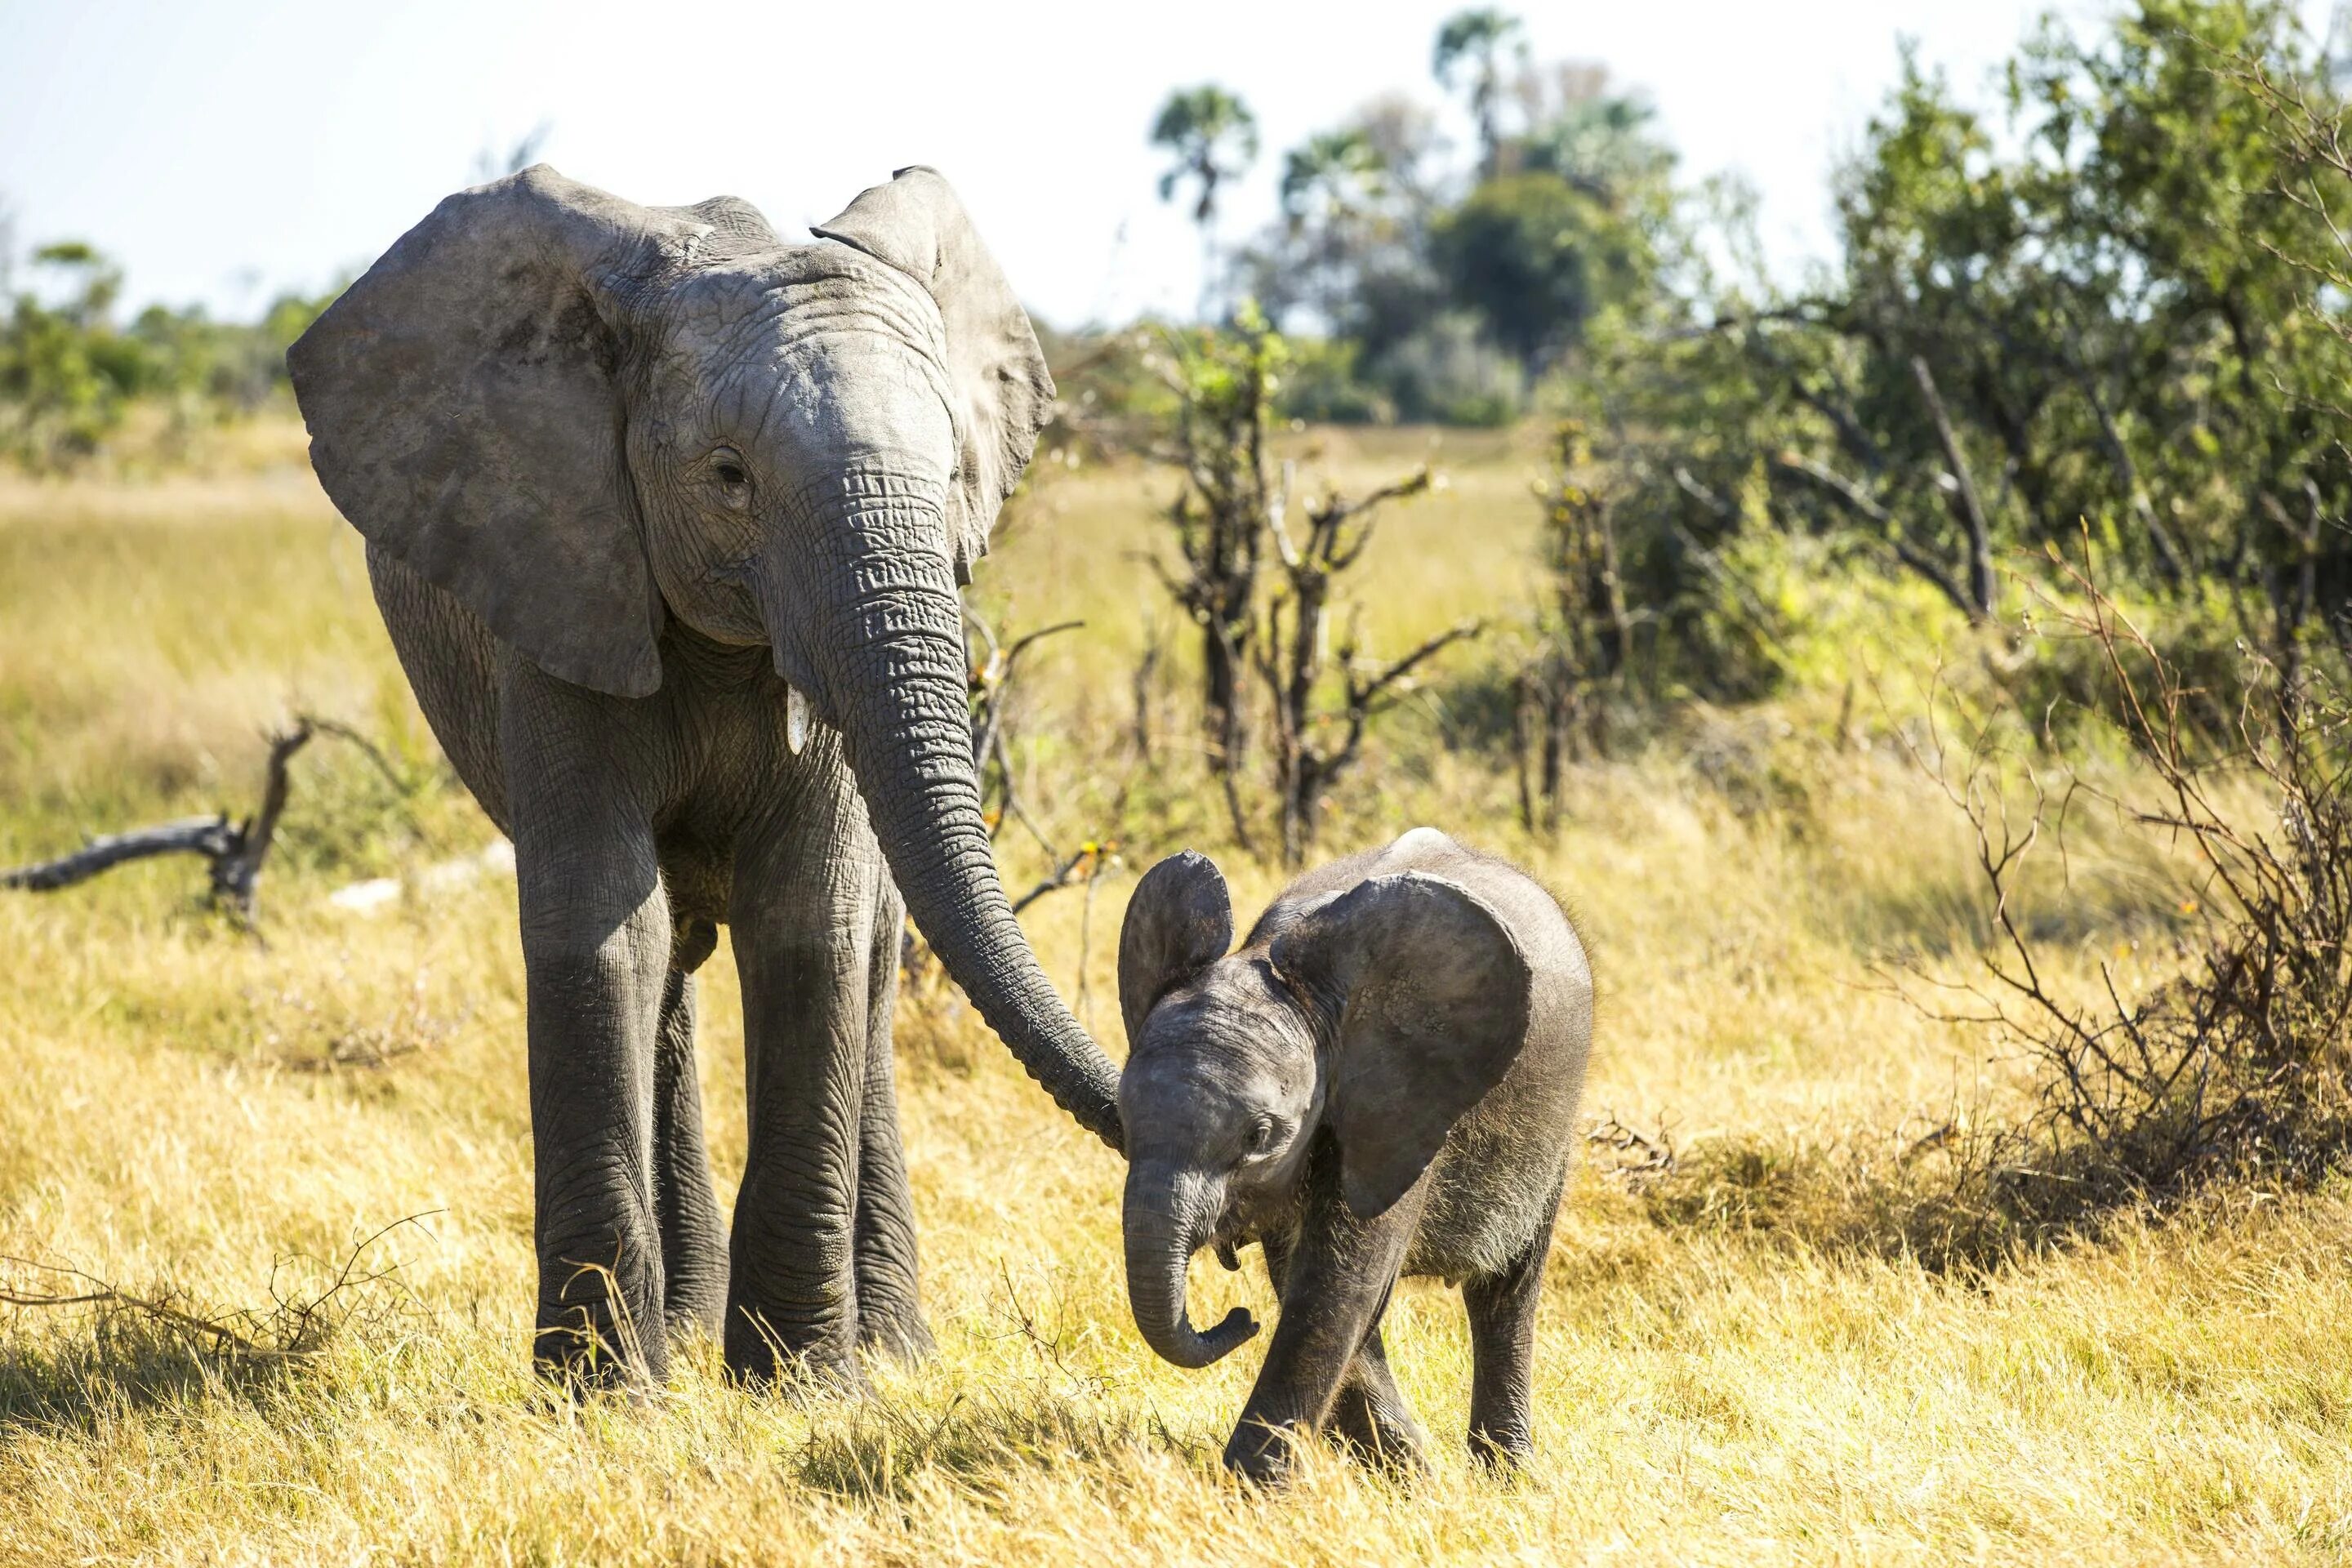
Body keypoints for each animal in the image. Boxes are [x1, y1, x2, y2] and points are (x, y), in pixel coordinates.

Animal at [292, 162, 1119, 1382]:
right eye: (728, 476)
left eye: (955, 475)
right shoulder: (564, 577)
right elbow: (602, 928)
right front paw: (600, 1393)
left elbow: (810, 920)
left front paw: (801, 1385)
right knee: (670, 957)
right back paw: (680, 1336)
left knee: (871, 951)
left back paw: (891, 1351)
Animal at [1110, 827, 1589, 1476]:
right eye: (1124, 1122)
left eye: (1259, 1137)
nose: (1240, 1319)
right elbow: (1313, 1280)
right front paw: (1409, 1473)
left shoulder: (1407, 1101)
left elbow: (1341, 1284)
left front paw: (1247, 1488)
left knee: (1507, 1289)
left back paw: (1506, 1476)